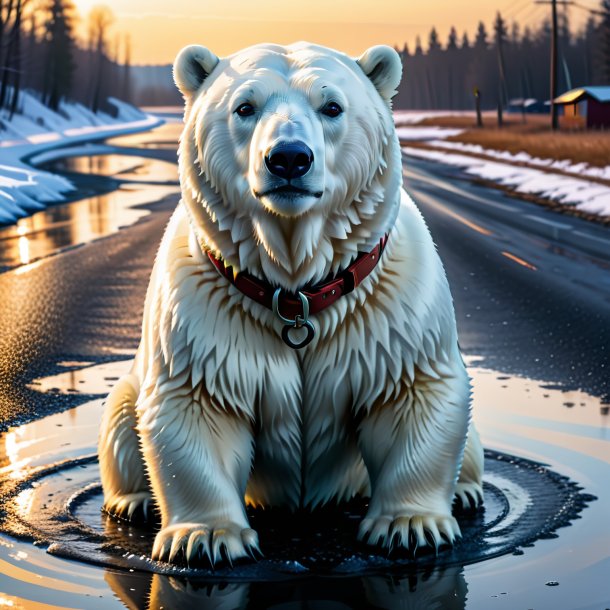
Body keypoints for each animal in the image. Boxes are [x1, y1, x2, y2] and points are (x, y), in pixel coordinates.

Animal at [97, 41, 482, 564]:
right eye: (244, 106)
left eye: (332, 106)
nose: (289, 158)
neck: (297, 290)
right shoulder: (206, 303)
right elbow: (198, 401)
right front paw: (206, 537)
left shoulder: (389, 303)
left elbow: (412, 390)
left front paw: (410, 526)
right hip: (130, 389)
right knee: (121, 418)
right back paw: (133, 501)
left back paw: (465, 490)